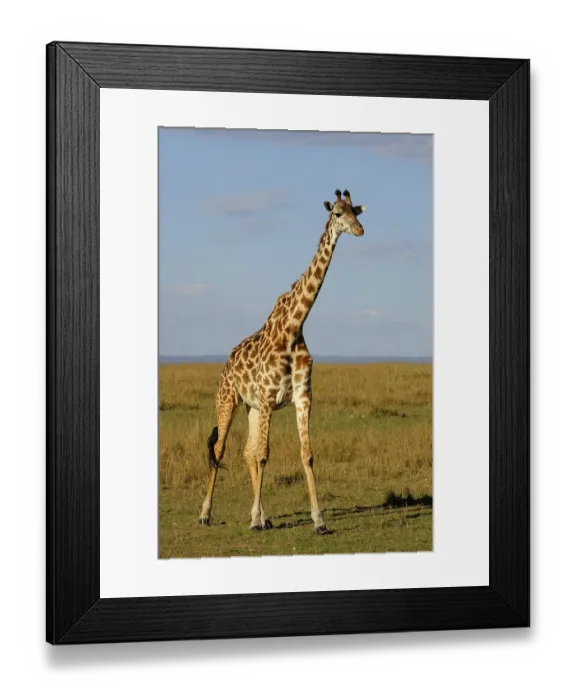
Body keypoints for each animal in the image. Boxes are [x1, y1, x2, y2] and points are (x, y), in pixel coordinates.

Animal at [199, 189, 366, 533]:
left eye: (356, 212)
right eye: (338, 214)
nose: (360, 230)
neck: (293, 326)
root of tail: (227, 363)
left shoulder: (301, 396)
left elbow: (306, 454)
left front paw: (319, 521)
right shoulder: (267, 397)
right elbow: (265, 455)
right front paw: (253, 520)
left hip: (251, 408)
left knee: (247, 452)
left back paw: (264, 515)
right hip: (229, 400)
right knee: (222, 449)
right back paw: (207, 514)